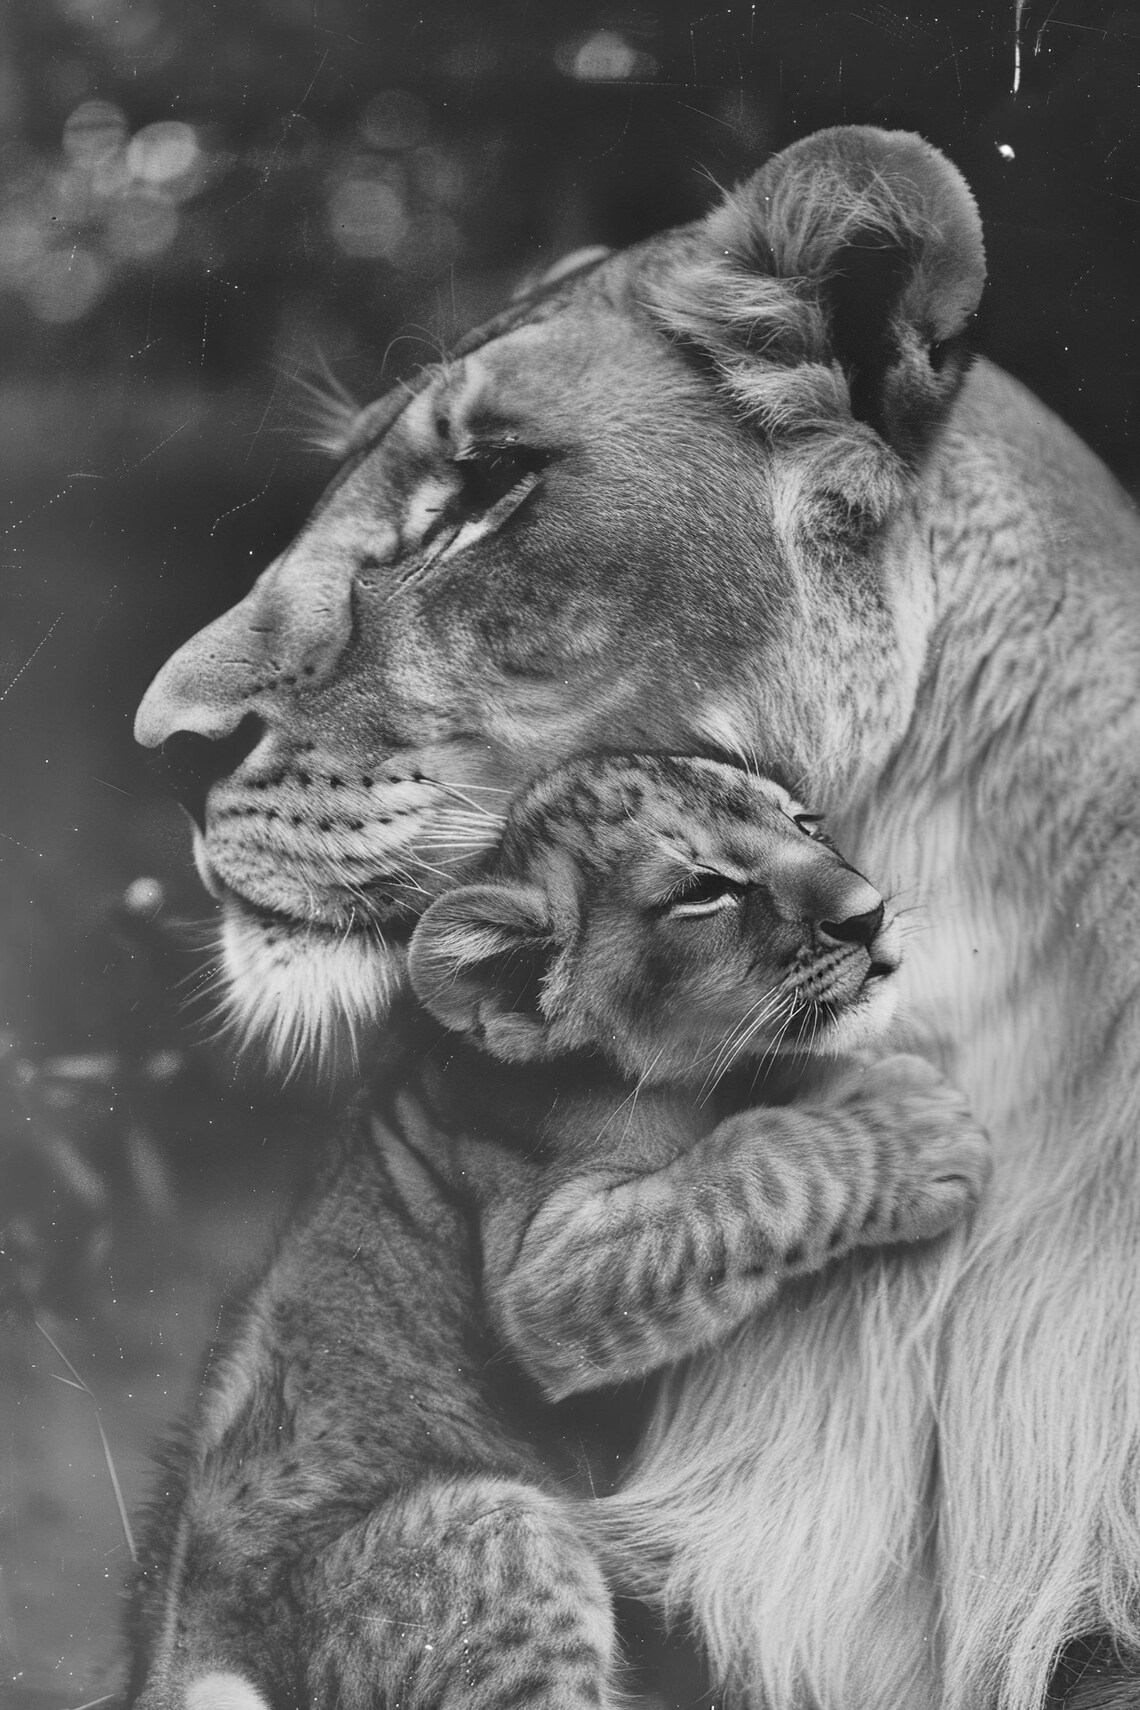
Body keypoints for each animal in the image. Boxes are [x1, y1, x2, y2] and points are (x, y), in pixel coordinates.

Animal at [134, 125, 1140, 1709]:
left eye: (490, 488)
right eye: (704, 887)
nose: (161, 744)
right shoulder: (555, 1263)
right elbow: (738, 1189)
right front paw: (898, 1129)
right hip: (487, 1531)